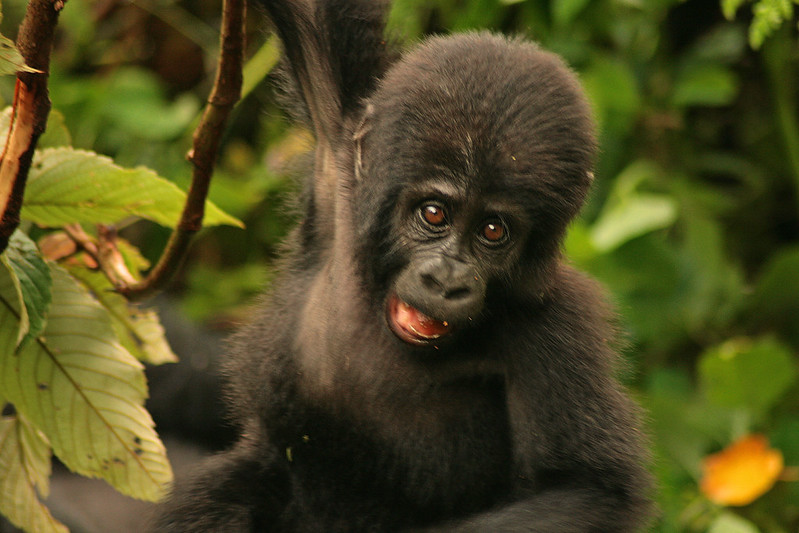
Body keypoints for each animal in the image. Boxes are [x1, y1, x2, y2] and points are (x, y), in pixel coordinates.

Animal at [153, 0, 652, 530]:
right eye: (434, 214)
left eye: (493, 231)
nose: (446, 280)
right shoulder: (343, 152)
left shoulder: (558, 324)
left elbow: (585, 488)